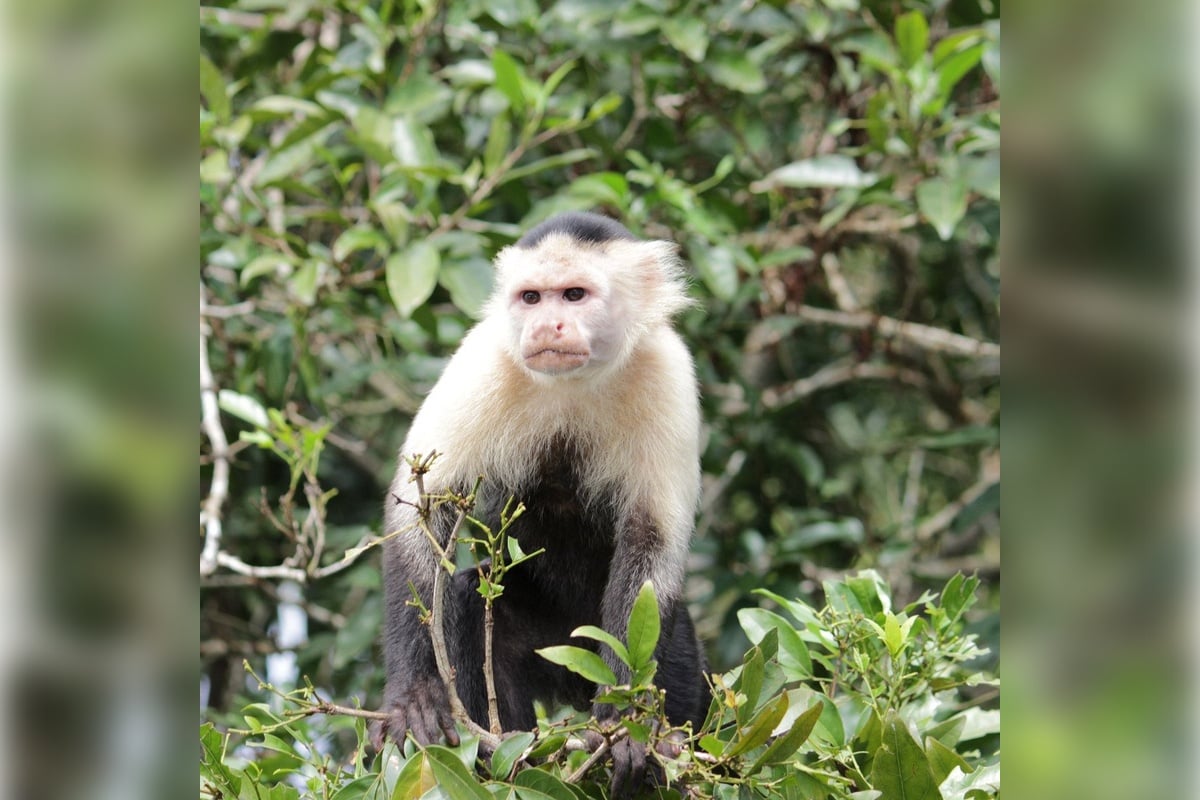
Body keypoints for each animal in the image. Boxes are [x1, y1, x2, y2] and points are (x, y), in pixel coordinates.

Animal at [375, 212, 709, 796]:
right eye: (531, 297)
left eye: (574, 295)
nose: (546, 325)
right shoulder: (483, 360)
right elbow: (420, 511)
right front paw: (413, 695)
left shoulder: (667, 371)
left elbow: (652, 541)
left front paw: (624, 726)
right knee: (472, 600)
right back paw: (503, 756)